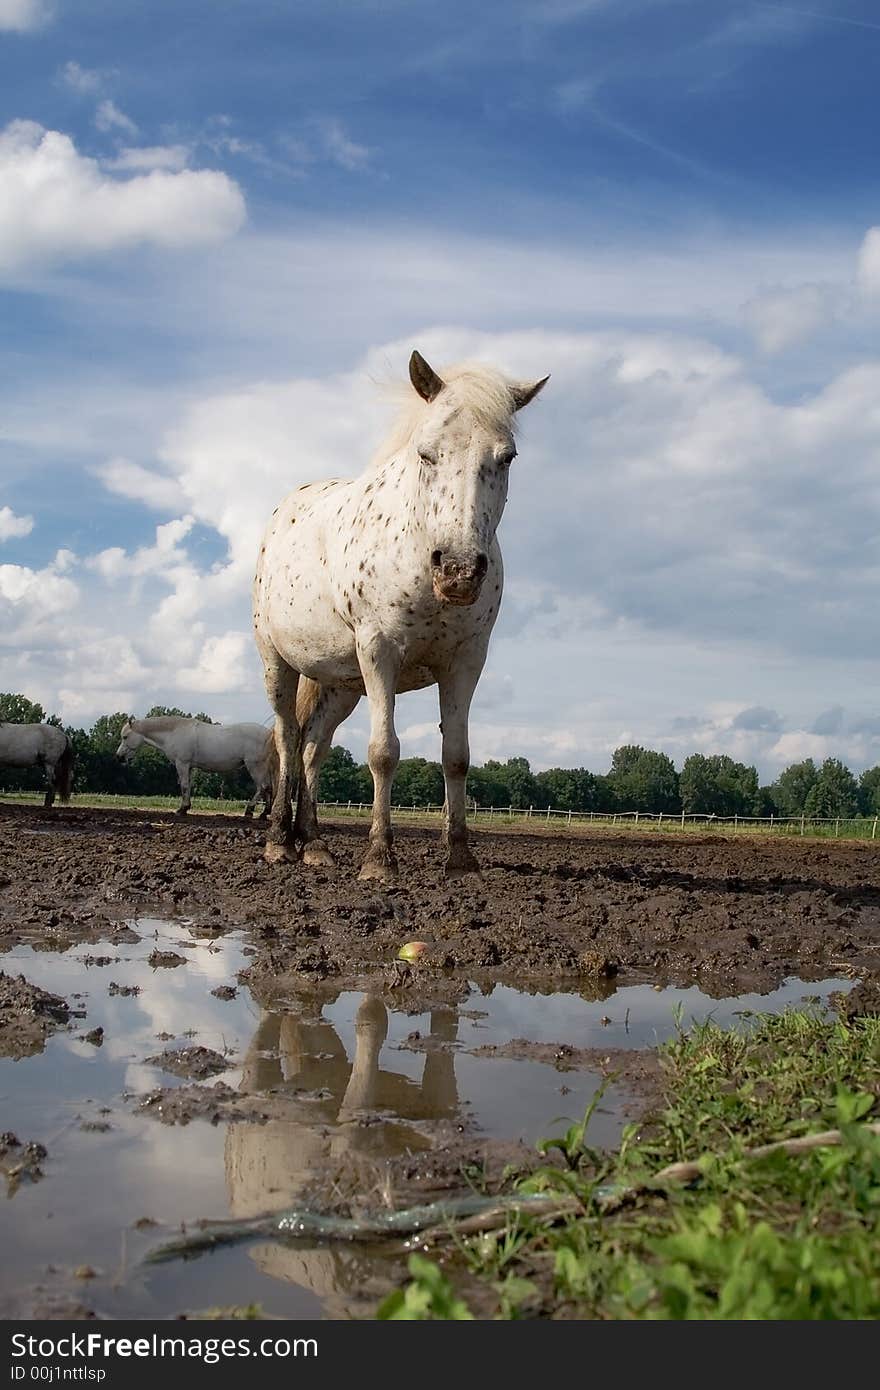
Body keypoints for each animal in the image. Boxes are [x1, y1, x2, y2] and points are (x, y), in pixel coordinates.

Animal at [116, 717, 275, 811]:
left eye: (125, 737)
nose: (119, 757)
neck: (174, 731)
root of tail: (268, 733)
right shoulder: (189, 767)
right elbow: (188, 786)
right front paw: (186, 807)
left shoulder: (182, 764)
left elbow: (184, 786)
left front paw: (182, 809)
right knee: (268, 788)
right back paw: (264, 813)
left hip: (254, 766)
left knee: (262, 787)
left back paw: (250, 810)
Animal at [250, 353, 544, 884]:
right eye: (426, 454)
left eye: (507, 457)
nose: (459, 570)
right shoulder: (380, 654)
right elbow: (383, 753)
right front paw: (378, 859)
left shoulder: (465, 664)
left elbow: (457, 757)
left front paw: (460, 858)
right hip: (277, 663)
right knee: (287, 738)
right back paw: (280, 842)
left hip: (342, 685)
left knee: (313, 747)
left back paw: (314, 843)